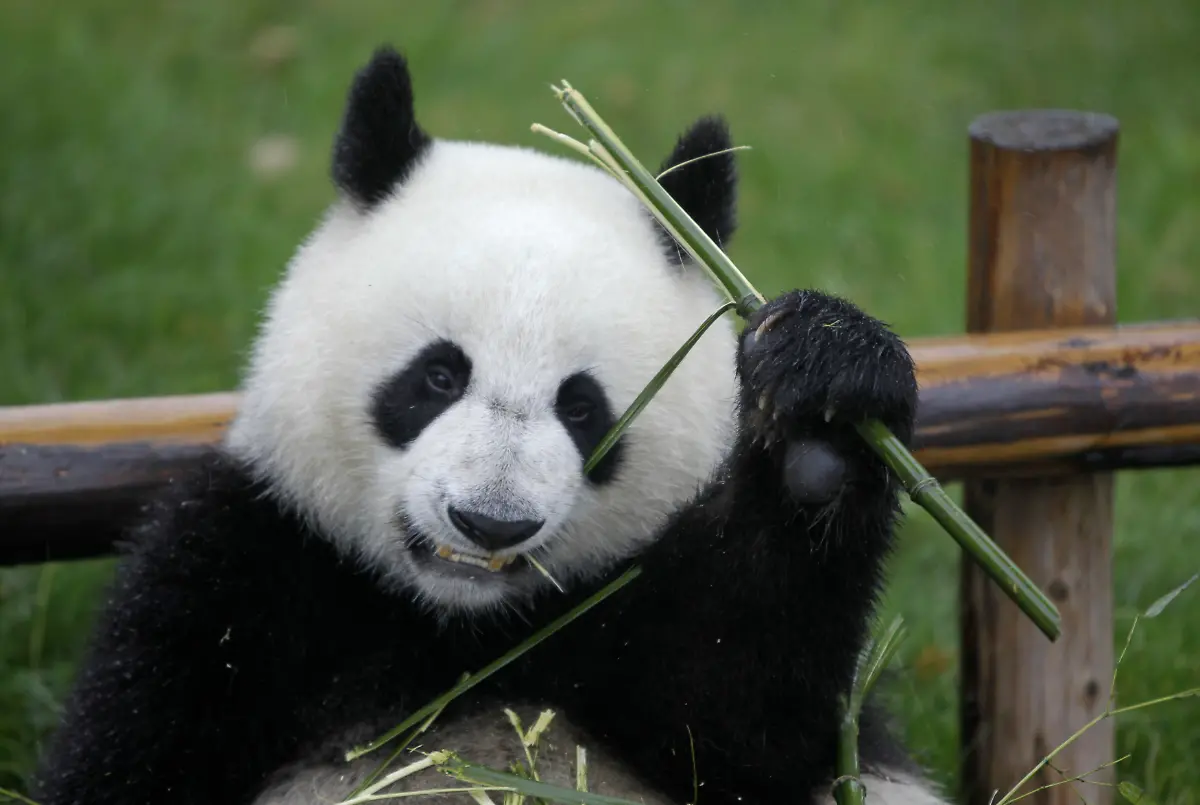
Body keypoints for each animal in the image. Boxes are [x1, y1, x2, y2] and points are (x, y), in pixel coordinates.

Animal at [31, 45, 947, 805]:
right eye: (438, 375)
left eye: (583, 407)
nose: (489, 521)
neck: (458, 627)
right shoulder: (245, 570)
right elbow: (133, 754)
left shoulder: (643, 606)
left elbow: (750, 722)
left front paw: (824, 418)